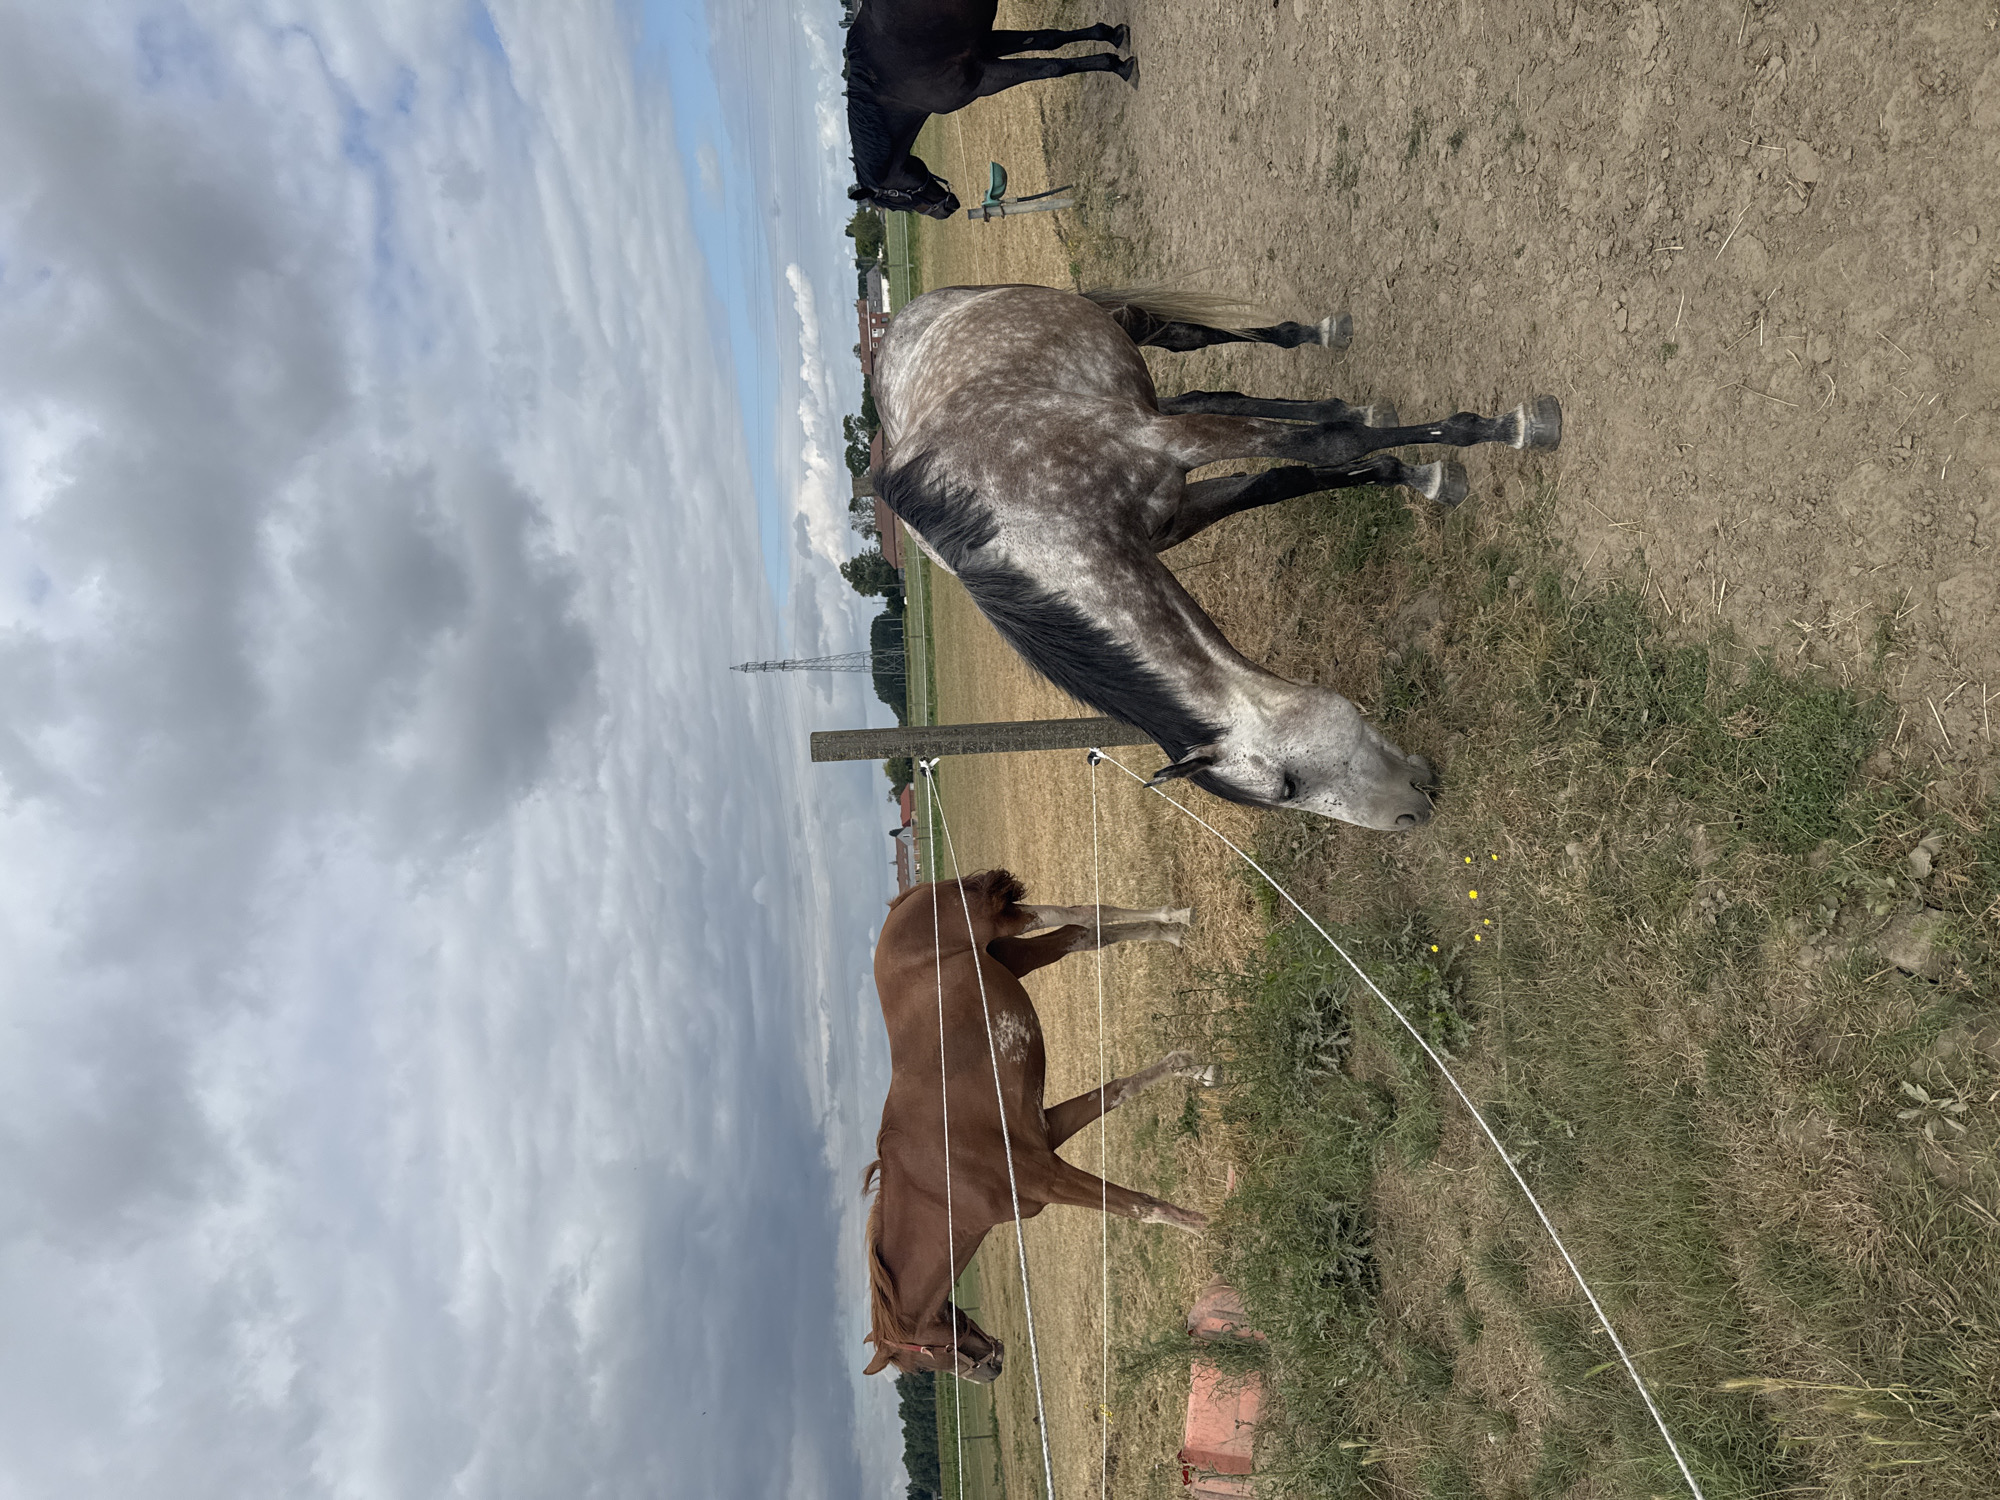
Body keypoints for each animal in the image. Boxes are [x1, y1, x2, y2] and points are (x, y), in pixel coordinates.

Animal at [845, 0, 1136, 218]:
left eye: (898, 201)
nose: (947, 210)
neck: (890, 88)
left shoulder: (982, 81)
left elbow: (1052, 66)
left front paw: (1118, 65)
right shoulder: (985, 45)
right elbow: (1049, 39)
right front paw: (1113, 36)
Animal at [862, 870, 1214, 1382]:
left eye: (923, 1358)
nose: (990, 1370)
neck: (940, 1186)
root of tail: (904, 902)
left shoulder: (1047, 1177)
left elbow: (1139, 1207)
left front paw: (1215, 1229)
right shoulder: (1049, 1132)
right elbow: (1119, 1091)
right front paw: (1192, 1067)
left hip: (1004, 923)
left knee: (1078, 913)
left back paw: (1175, 919)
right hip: (1011, 955)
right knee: (1082, 934)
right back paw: (1171, 929)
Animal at [871, 283, 1565, 830]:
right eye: (1288, 792)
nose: (1410, 816)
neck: (1029, 518)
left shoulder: (1169, 441)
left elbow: (1325, 447)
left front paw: (1496, 434)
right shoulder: (1176, 511)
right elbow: (1291, 475)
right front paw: (1405, 469)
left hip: (1127, 329)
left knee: (1190, 341)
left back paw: (1319, 335)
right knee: (1214, 389)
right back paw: (1344, 400)